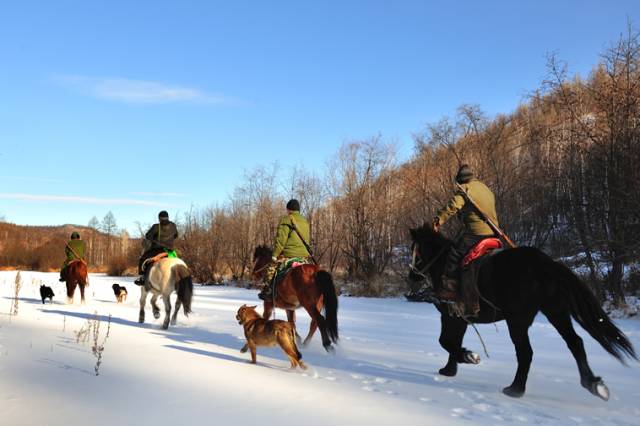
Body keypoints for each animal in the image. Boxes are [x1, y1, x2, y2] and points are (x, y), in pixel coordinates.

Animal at [410, 226, 636, 400]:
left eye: (415, 250)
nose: (412, 276)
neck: (442, 265)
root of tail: (547, 264)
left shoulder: (451, 316)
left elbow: (446, 341)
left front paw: (469, 357)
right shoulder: (461, 318)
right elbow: (452, 342)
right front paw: (450, 369)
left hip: (517, 321)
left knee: (526, 352)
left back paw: (515, 389)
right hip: (556, 312)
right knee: (575, 343)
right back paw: (594, 384)